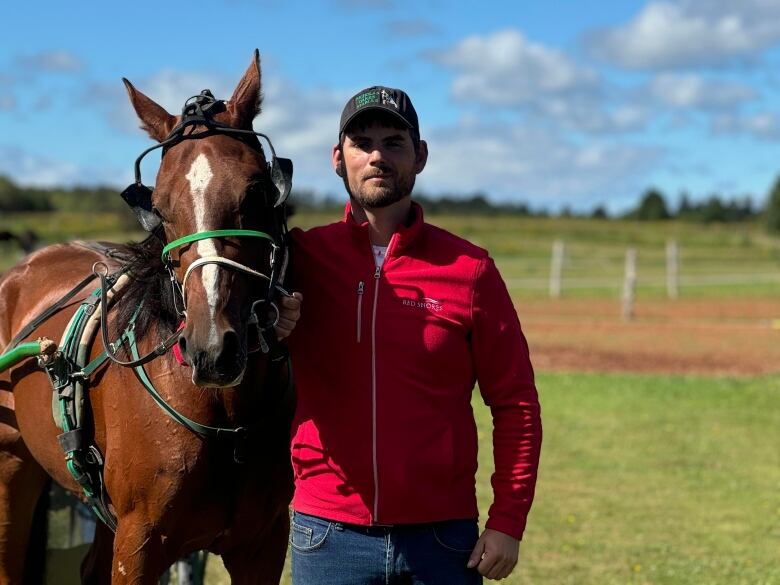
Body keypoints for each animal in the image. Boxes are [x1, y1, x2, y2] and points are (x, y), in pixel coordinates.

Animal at [0, 52, 296, 580]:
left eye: (258, 192)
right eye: (158, 206)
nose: (213, 347)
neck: (226, 417)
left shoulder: (262, 543)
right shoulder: (139, 545)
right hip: (12, 466)